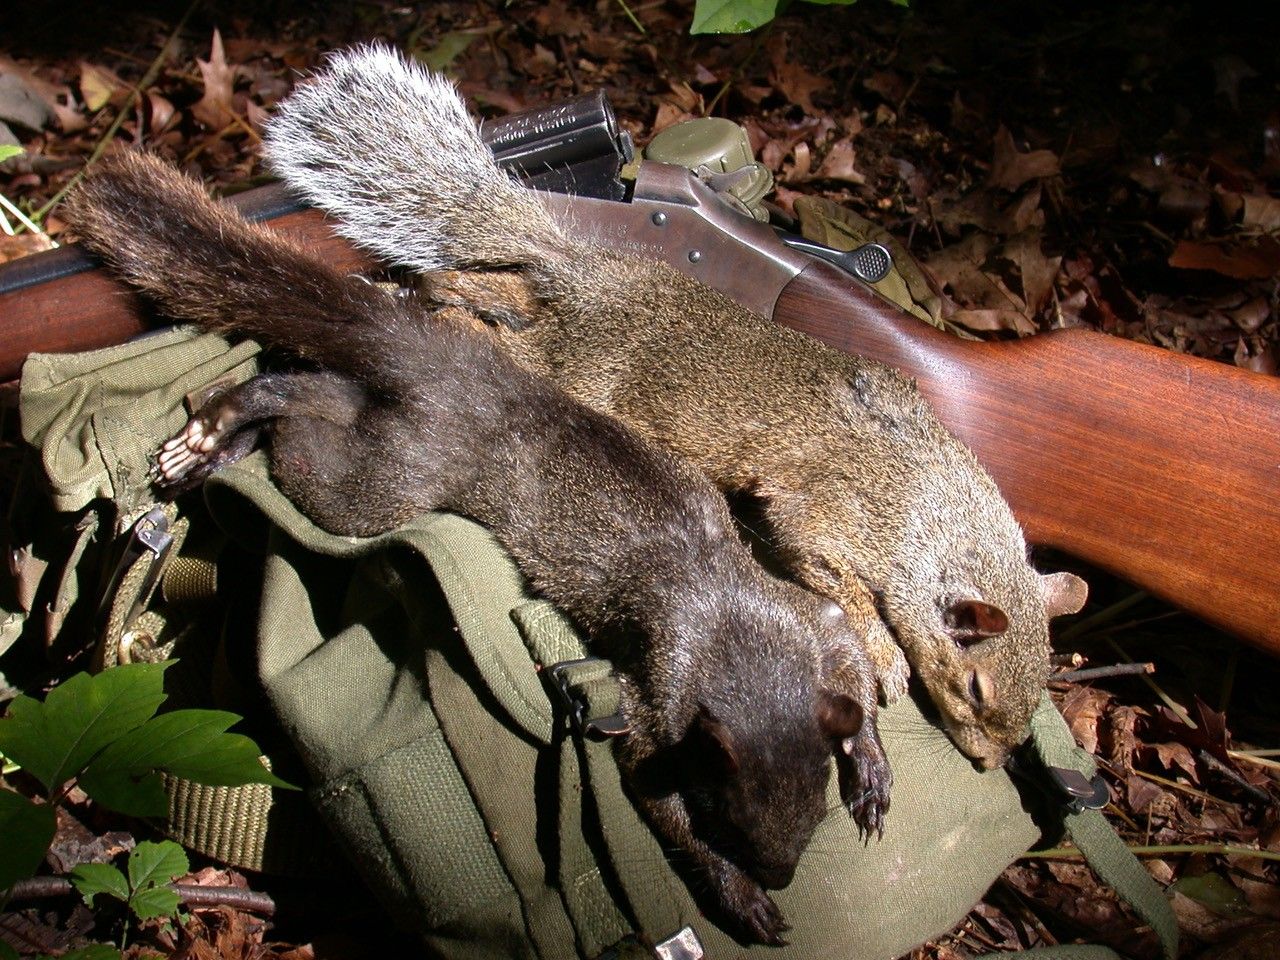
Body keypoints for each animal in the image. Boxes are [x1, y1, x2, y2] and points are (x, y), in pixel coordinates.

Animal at [65, 151, 891, 946]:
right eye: (733, 811)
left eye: (812, 808)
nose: (783, 875)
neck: (742, 638)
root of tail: (458, 368)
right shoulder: (658, 698)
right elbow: (658, 800)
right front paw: (744, 898)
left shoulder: (799, 618)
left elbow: (847, 648)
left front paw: (871, 771)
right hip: (382, 479)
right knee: (295, 424)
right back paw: (219, 431)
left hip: (375, 430)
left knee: (309, 385)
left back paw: (217, 433)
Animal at [262, 45, 1089, 770]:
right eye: (975, 686)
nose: (990, 761)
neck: (930, 504)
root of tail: (589, 271)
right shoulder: (827, 512)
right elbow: (834, 575)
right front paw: (884, 654)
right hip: (568, 365)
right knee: (500, 326)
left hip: (541, 320)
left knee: (492, 288)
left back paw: (435, 289)